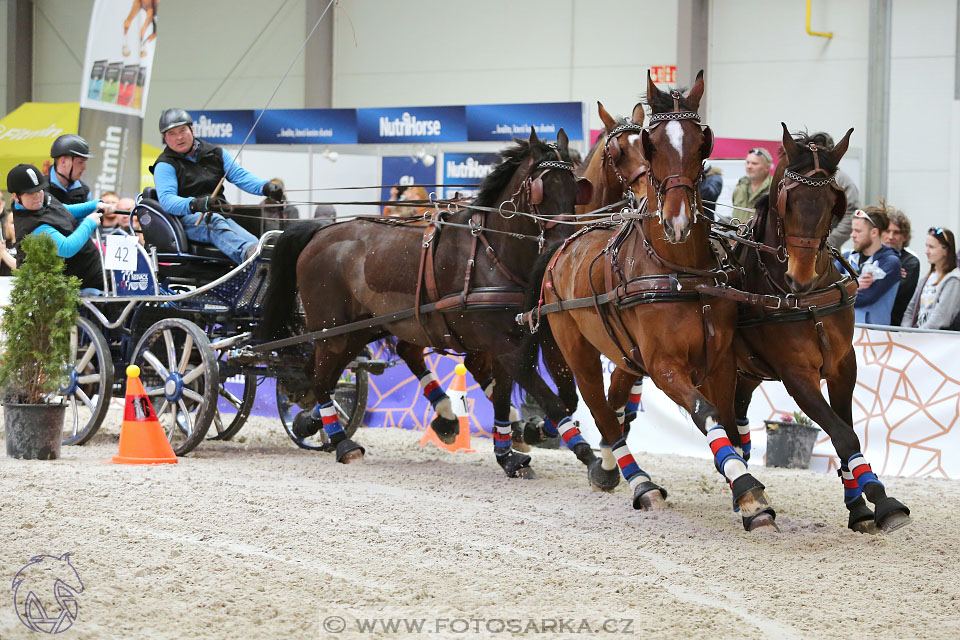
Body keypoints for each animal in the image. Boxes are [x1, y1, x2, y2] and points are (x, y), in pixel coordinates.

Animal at [524, 71, 780, 528]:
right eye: (652, 143)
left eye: (702, 142)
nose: (677, 220)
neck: (682, 270)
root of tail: (564, 245)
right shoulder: (663, 367)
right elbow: (707, 414)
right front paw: (748, 491)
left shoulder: (720, 360)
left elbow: (727, 421)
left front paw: (743, 490)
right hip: (578, 350)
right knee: (600, 408)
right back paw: (638, 482)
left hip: (625, 354)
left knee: (614, 406)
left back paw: (611, 467)